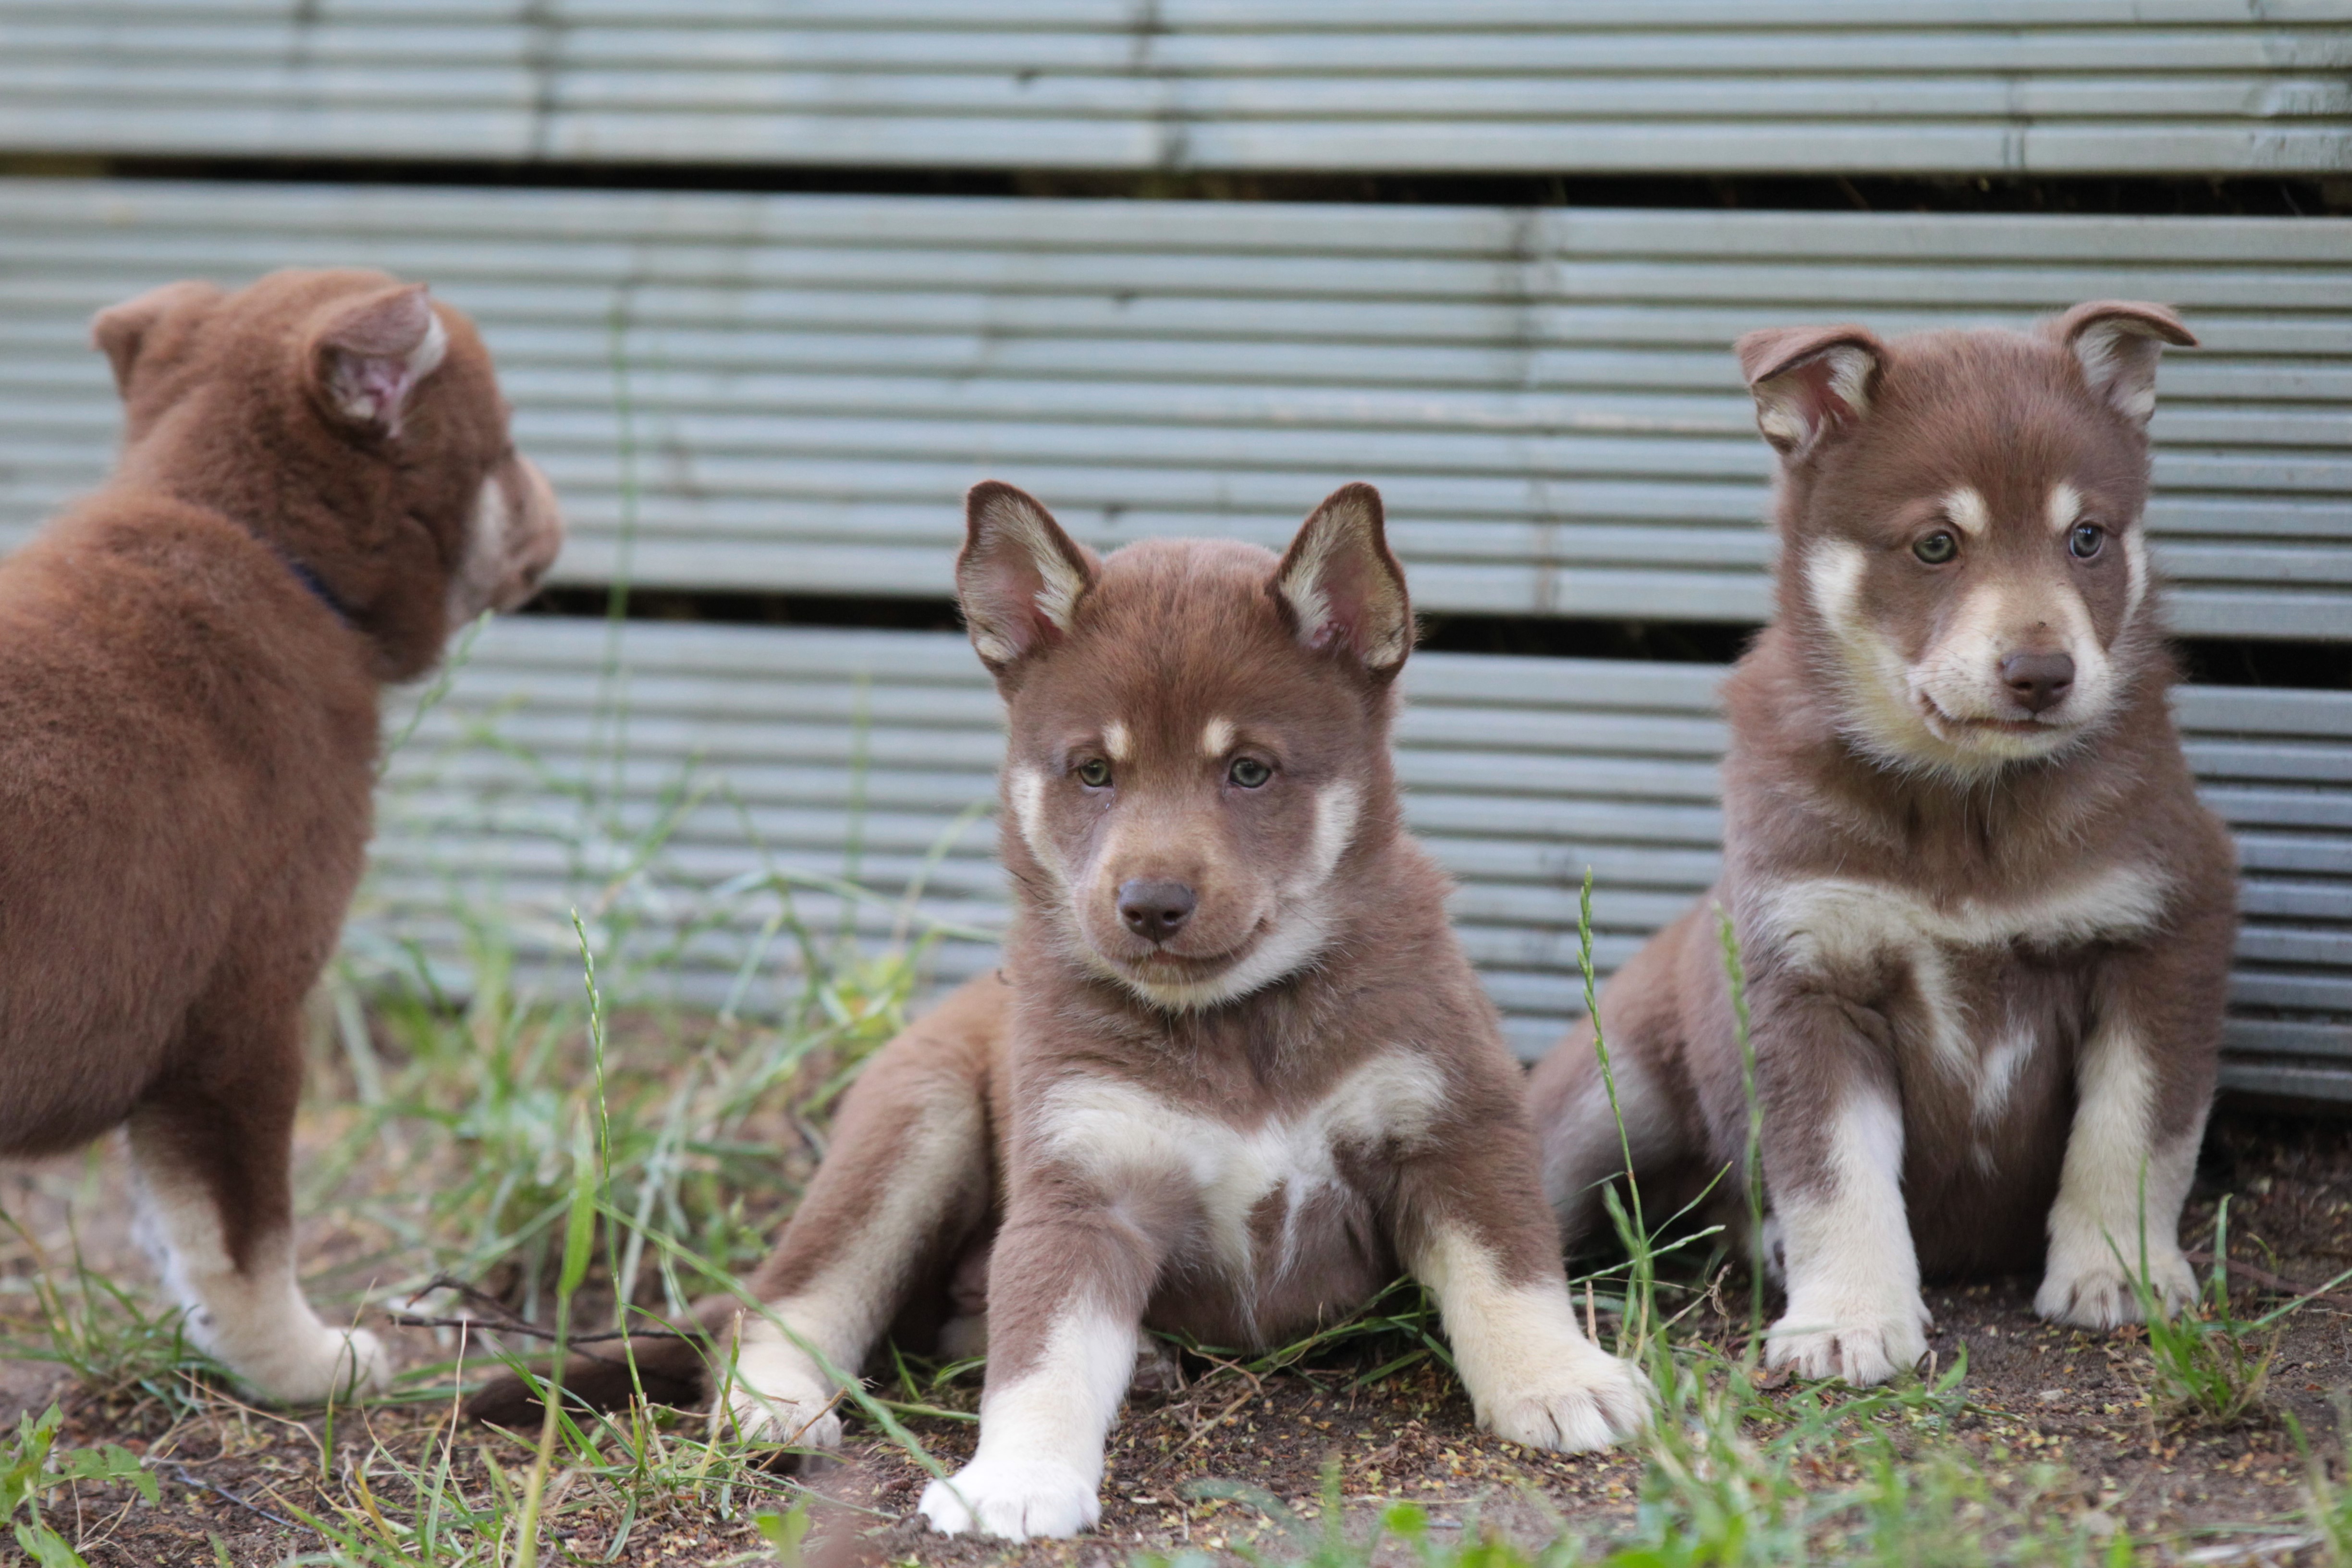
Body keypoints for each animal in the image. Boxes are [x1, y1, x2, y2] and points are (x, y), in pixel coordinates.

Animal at [0, 267, 564, 1401]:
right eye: (508, 449)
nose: (566, 512)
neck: (263, 543)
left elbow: (179, 1239)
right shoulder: (240, 1017)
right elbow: (242, 1241)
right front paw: (310, 1368)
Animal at [473, 484, 1655, 1542]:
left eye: (1249, 770)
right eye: (1093, 770)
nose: (1151, 904)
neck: (1237, 1022)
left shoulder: (1453, 1125)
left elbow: (1510, 1273)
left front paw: (1559, 1378)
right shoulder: (1081, 1194)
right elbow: (1037, 1358)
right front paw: (1017, 1479)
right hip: (917, 1127)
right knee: (792, 1296)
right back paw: (774, 1404)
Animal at [1533, 297, 2230, 1382]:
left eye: (2086, 537)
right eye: (1936, 546)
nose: (2044, 673)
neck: (1965, 806)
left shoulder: (2164, 931)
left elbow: (2133, 1131)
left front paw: (2120, 1271)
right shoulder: (1804, 975)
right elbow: (1835, 1173)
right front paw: (1848, 1320)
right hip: (1600, 1102)